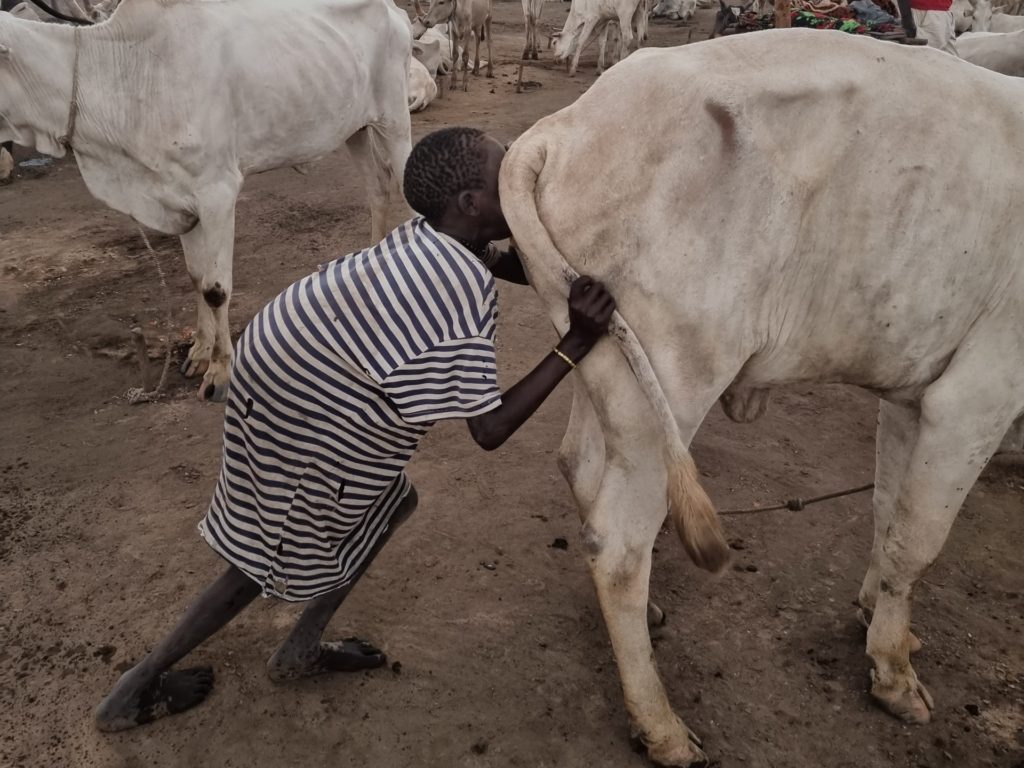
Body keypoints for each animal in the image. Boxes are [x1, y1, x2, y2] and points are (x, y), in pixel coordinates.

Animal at [3, 1, 415, 403]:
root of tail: (396, 11)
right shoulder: (179, 198)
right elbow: (195, 276)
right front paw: (200, 352)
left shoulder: (217, 192)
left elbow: (216, 288)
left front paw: (220, 372)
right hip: (355, 130)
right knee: (378, 187)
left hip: (394, 121)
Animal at [499, 28, 1024, 765]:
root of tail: (563, 126)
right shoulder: (978, 394)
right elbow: (917, 539)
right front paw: (893, 673)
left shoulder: (911, 392)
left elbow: (888, 513)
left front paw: (875, 617)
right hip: (673, 382)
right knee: (620, 545)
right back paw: (661, 724)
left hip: (605, 368)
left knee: (580, 468)